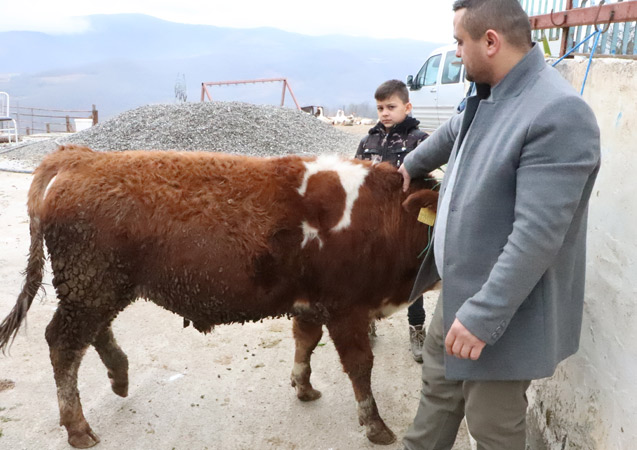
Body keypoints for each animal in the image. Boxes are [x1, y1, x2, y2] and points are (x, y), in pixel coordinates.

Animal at [0, 146, 438, 448]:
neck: (384, 215)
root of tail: (82, 157)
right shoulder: (346, 307)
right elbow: (360, 366)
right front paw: (376, 425)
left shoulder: (312, 303)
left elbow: (304, 341)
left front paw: (304, 387)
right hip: (89, 285)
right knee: (64, 344)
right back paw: (78, 427)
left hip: (100, 287)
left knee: (94, 333)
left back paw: (120, 375)